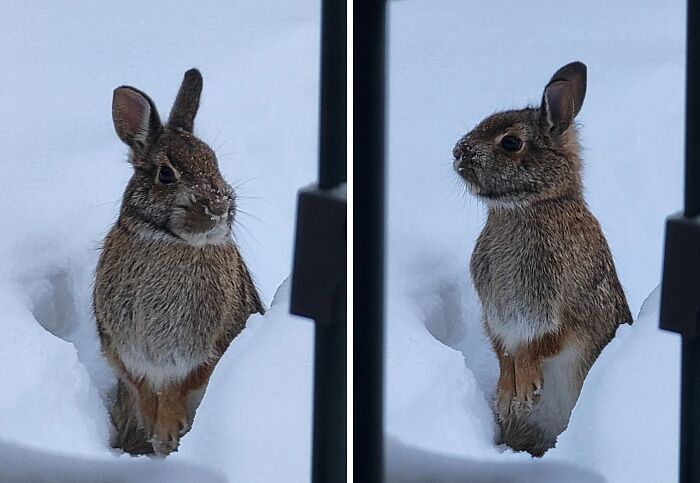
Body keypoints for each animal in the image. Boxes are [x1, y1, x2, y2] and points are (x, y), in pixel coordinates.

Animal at [93, 68, 264, 456]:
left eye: (214, 163)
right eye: (166, 174)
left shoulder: (203, 349)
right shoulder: (122, 348)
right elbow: (142, 388)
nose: (218, 208)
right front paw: (154, 431)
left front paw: (167, 433)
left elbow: (177, 387)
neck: (167, 243)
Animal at [452, 61, 632, 457]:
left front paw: (526, 388)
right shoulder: (495, 314)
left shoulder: (563, 307)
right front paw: (506, 395)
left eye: (511, 143)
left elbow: (538, 346)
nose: (457, 151)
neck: (531, 206)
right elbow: (504, 353)